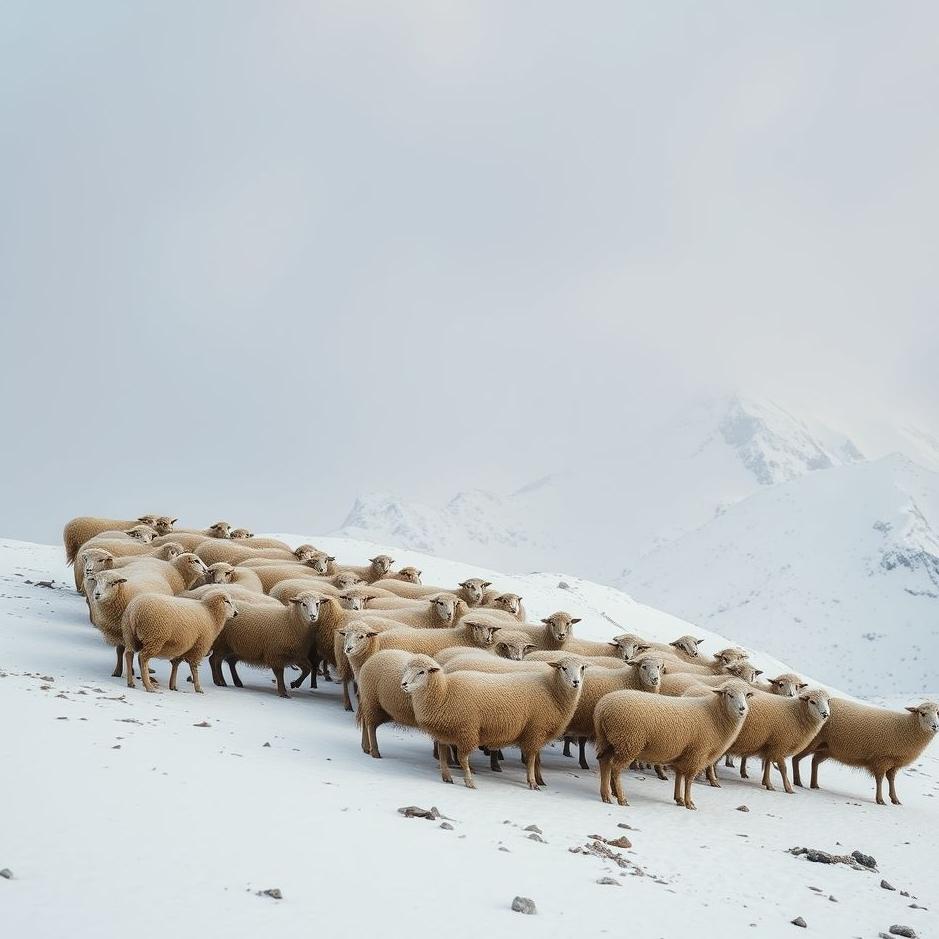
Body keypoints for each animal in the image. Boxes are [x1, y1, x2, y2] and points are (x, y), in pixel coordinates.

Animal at [402, 654, 588, 789]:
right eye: (563, 668)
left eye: (582, 668)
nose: (576, 682)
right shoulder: (535, 731)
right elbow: (531, 759)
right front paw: (533, 782)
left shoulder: (534, 731)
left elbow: (535, 759)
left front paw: (537, 779)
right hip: (462, 730)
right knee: (454, 755)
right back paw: (465, 778)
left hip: (448, 730)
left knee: (442, 752)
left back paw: (447, 776)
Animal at [593, 681, 753, 809]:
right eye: (729, 695)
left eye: (746, 695)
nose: (742, 709)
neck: (715, 715)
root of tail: (603, 708)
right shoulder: (697, 753)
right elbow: (689, 779)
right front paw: (689, 803)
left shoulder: (684, 753)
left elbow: (679, 776)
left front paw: (679, 799)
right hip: (629, 742)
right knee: (615, 768)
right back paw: (621, 798)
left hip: (609, 741)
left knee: (604, 762)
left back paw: (606, 795)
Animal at [792, 699, 939, 804]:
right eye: (922, 713)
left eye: (938, 713)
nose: (935, 726)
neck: (907, 727)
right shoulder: (881, 759)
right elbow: (880, 780)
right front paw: (880, 800)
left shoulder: (894, 763)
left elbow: (891, 780)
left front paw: (895, 799)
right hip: (812, 741)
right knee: (796, 758)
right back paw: (798, 782)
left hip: (826, 748)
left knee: (814, 761)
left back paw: (814, 784)